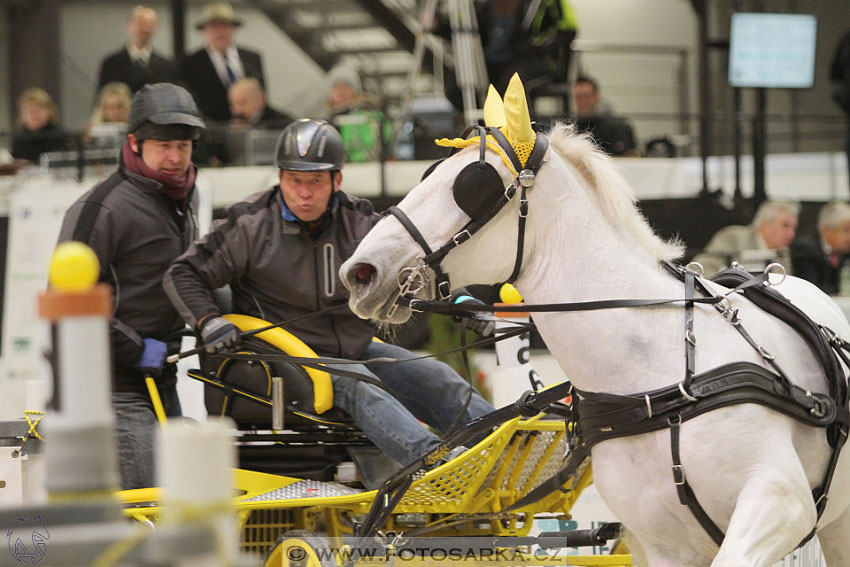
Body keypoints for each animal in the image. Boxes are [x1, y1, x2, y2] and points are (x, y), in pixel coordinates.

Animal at [342, 79, 848, 567]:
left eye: (472, 182)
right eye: (428, 173)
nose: (359, 271)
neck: (657, 383)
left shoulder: (781, 502)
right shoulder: (664, 547)